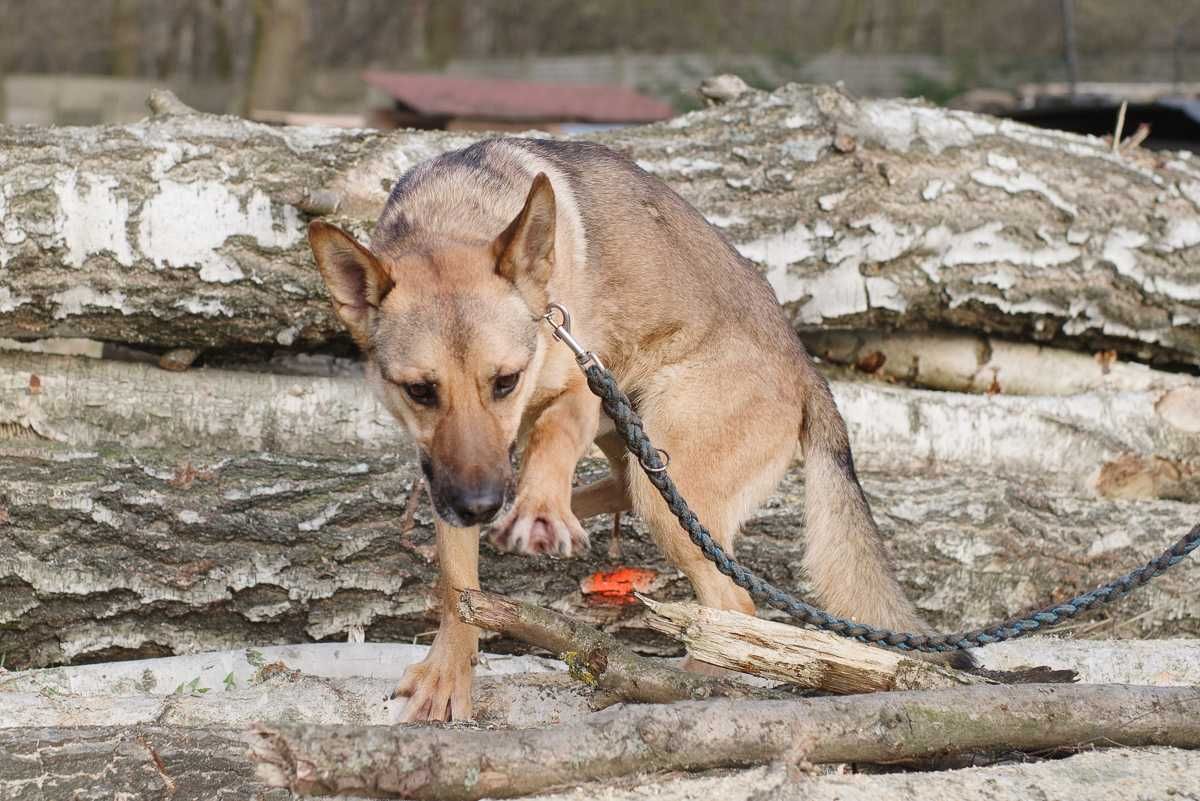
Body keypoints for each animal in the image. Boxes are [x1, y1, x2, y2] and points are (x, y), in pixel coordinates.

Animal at [304, 134, 940, 724]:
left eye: (506, 381)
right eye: (420, 392)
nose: (479, 506)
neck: (450, 217)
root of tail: (808, 372)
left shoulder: (579, 381)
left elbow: (554, 436)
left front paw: (540, 505)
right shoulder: (447, 474)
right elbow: (458, 583)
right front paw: (448, 672)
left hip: (665, 473)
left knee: (733, 603)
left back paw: (684, 682)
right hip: (630, 432)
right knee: (626, 487)